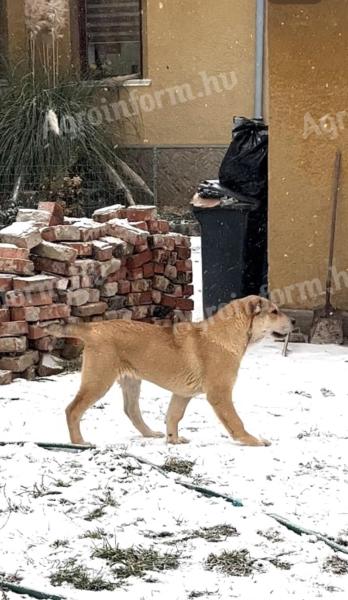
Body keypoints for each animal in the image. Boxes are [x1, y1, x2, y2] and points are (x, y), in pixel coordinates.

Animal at [49, 296, 292, 446]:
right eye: (274, 311)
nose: (295, 322)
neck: (228, 334)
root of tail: (92, 328)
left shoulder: (182, 394)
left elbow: (173, 416)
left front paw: (173, 440)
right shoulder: (219, 394)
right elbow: (235, 421)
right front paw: (253, 440)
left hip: (131, 381)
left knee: (131, 410)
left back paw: (150, 433)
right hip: (99, 381)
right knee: (73, 410)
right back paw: (79, 442)